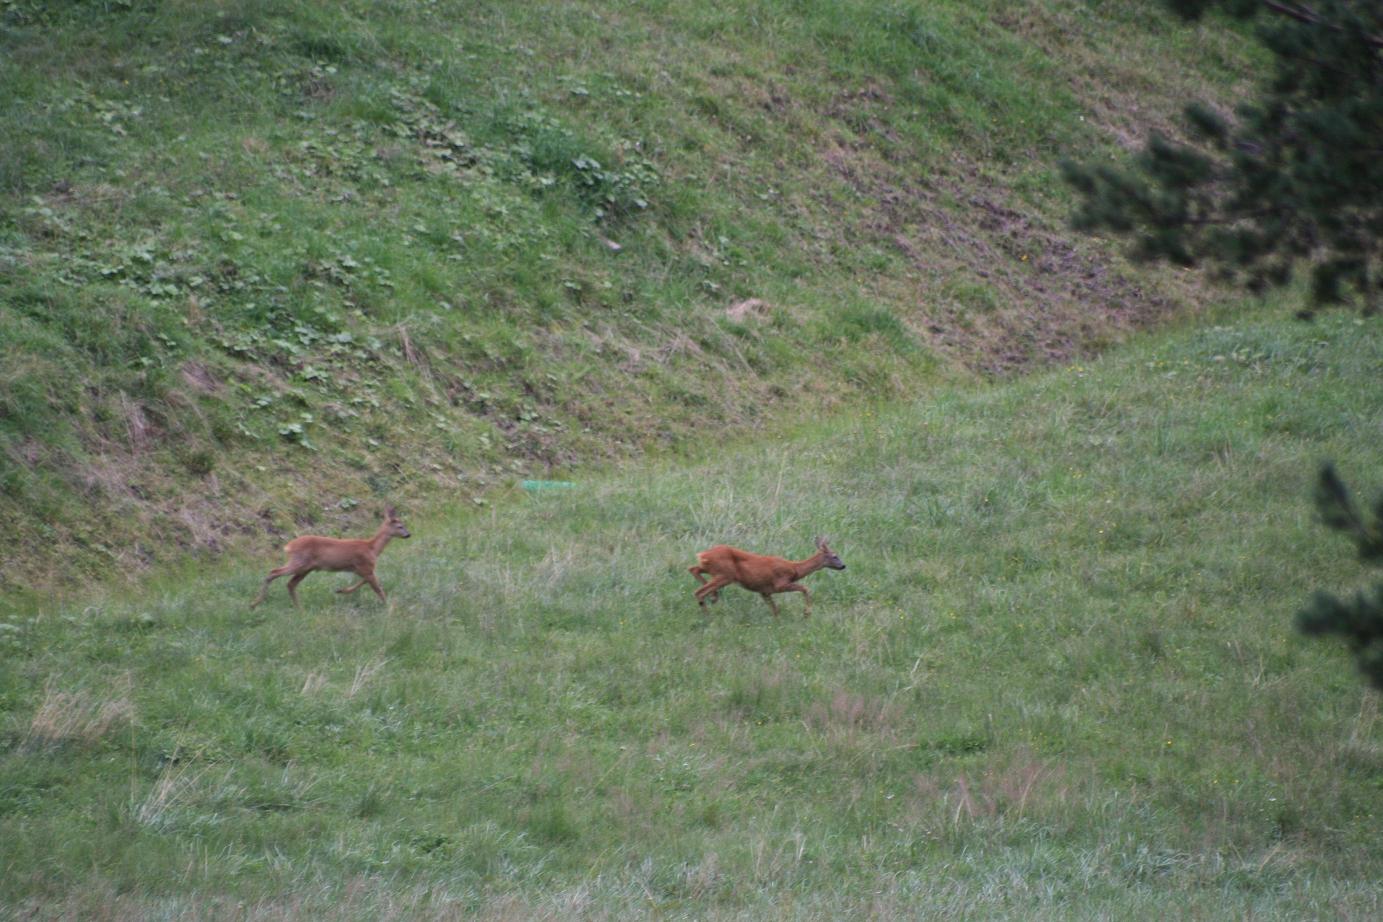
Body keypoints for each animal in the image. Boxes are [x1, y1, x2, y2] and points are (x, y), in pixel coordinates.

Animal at [250, 508, 409, 608]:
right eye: (400, 526)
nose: (409, 534)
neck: (372, 548)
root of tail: (289, 546)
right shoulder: (365, 566)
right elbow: (378, 588)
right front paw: (388, 607)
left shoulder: (361, 569)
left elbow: (365, 582)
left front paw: (341, 590)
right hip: (299, 562)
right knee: (273, 572)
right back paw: (255, 604)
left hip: (306, 568)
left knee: (290, 583)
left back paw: (298, 608)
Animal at [688, 533, 840, 619]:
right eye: (835, 556)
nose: (843, 566)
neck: (794, 569)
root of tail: (703, 554)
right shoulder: (780, 583)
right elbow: (805, 588)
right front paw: (807, 613)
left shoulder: (764, 591)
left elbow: (775, 609)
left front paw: (777, 622)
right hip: (725, 574)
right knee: (698, 591)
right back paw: (708, 614)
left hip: (714, 571)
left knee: (693, 569)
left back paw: (713, 597)